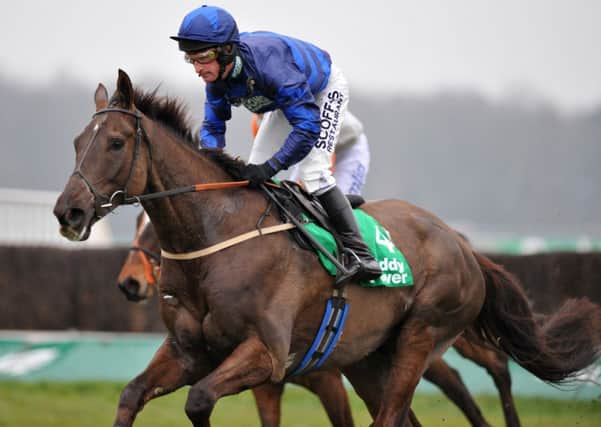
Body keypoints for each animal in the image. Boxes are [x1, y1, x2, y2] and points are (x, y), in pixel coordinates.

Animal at [119, 211, 516, 427]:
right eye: (135, 221)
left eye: (154, 231)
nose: (129, 283)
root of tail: (458, 240)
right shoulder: (267, 381)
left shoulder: (328, 380)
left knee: (484, 369)